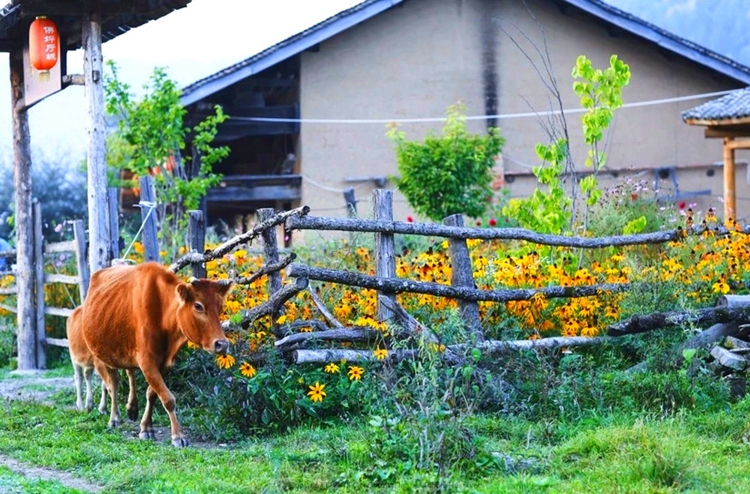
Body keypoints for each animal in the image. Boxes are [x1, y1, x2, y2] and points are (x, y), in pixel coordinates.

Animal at [79, 262, 232, 448]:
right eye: (198, 306)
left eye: (220, 307)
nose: (222, 344)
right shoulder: (147, 361)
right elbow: (168, 398)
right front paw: (178, 435)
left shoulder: (165, 363)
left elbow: (152, 394)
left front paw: (146, 427)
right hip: (104, 355)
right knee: (112, 384)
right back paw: (114, 417)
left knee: (129, 372)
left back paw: (132, 407)